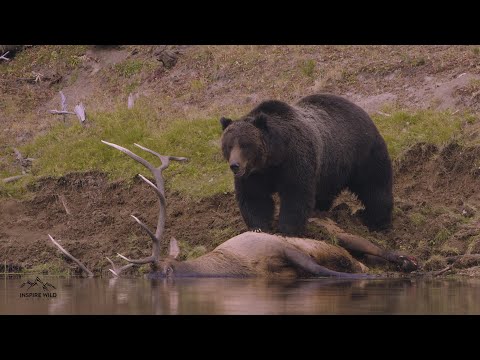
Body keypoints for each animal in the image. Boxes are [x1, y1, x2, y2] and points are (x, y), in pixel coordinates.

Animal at [221, 93, 394, 236]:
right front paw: (259, 227)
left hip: (363, 153)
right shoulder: (254, 174)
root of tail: (360, 110)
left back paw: (376, 220)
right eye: (229, 145)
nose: (235, 165)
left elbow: (296, 193)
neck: (273, 158)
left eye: (245, 145)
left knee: (374, 185)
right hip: (330, 169)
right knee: (326, 191)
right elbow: (254, 197)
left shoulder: (294, 160)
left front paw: (287, 229)